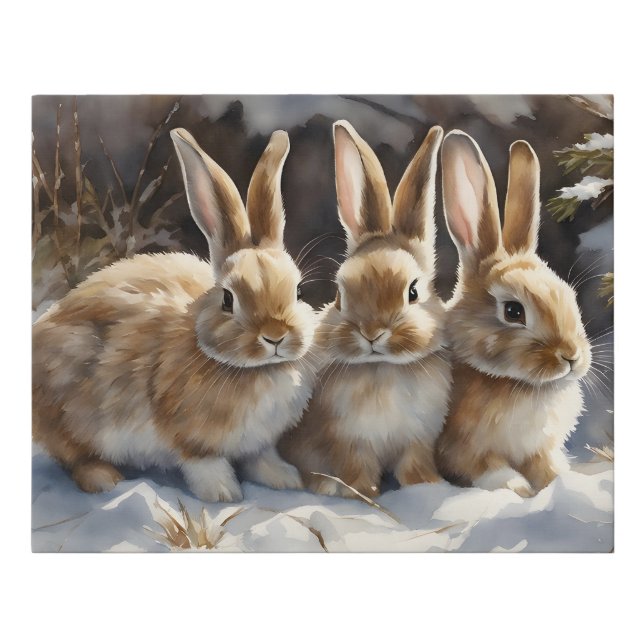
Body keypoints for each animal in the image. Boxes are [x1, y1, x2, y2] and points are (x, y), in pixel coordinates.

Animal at [32, 127, 318, 502]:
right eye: (228, 299)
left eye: (298, 292)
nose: (275, 336)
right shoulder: (187, 432)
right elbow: (203, 461)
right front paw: (224, 493)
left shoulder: (259, 442)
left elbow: (261, 458)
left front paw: (285, 478)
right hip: (73, 410)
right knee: (73, 457)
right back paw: (105, 478)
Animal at [279, 120, 451, 499]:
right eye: (340, 296)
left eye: (413, 292)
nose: (372, 333)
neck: (382, 368)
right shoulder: (347, 442)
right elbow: (356, 470)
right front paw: (358, 494)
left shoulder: (418, 440)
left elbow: (414, 467)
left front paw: (429, 487)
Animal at [434, 130, 593, 497]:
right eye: (513, 311)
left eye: (569, 297)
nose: (571, 357)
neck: (517, 384)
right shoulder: (462, 450)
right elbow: (493, 473)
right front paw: (521, 491)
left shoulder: (539, 449)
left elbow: (548, 468)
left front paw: (558, 484)